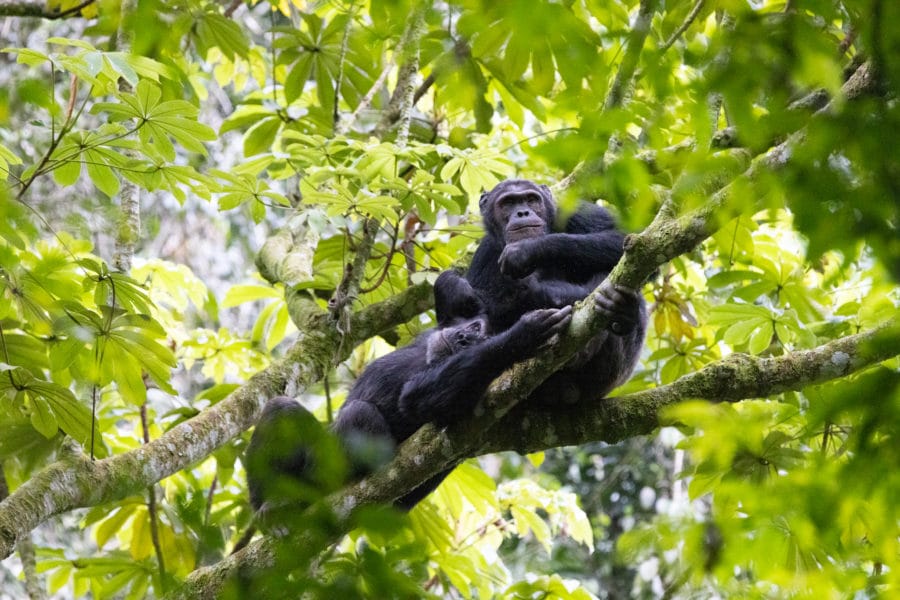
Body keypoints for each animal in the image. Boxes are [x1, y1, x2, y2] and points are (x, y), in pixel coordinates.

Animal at [246, 270, 568, 512]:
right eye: (475, 328)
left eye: (481, 339)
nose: (465, 337)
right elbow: (451, 289)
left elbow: (415, 400)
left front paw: (522, 336)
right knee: (281, 408)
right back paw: (267, 507)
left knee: (358, 414)